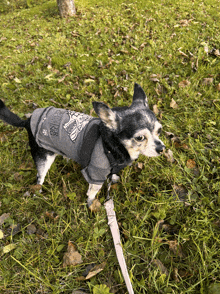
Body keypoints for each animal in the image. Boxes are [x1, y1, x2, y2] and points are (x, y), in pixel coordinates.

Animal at [0, 82, 165, 207]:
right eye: (140, 138)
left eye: (159, 130)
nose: (162, 148)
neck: (111, 144)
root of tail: (27, 121)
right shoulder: (96, 173)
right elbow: (92, 191)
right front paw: (91, 204)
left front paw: (113, 177)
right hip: (43, 157)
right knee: (40, 177)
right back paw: (39, 191)